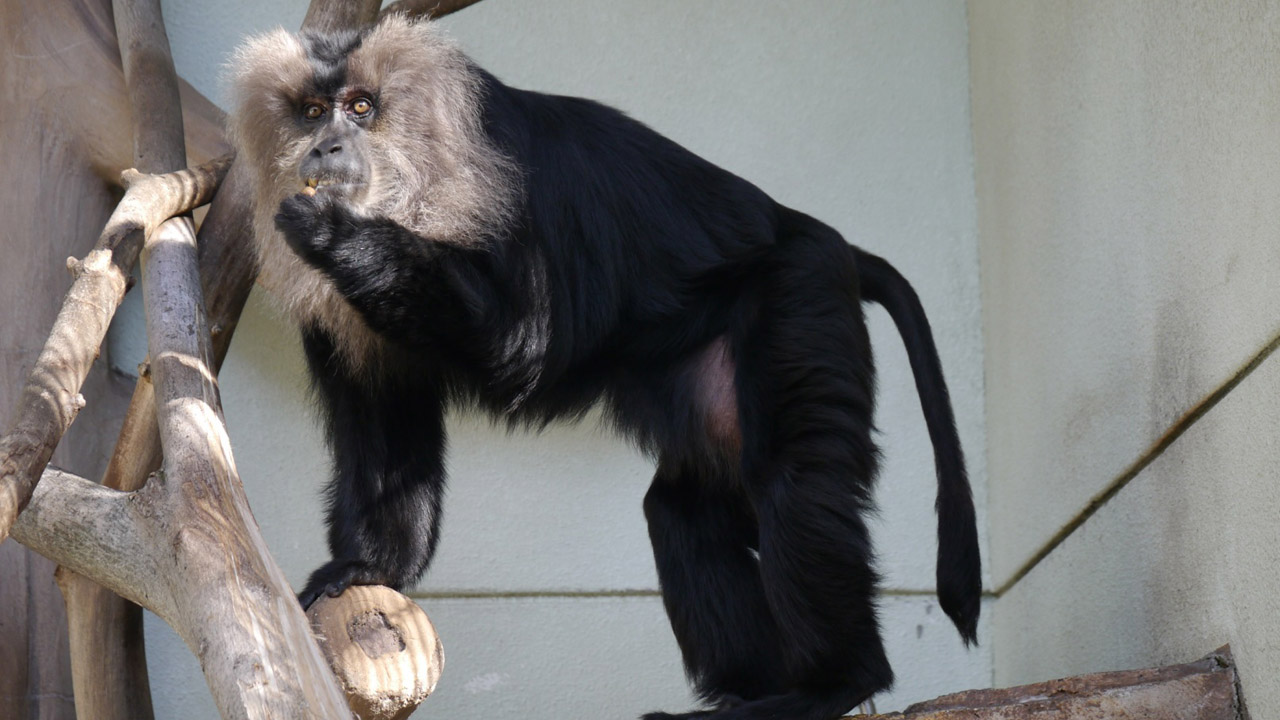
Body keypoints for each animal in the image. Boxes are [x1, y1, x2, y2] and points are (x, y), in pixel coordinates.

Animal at [227, 14, 977, 712]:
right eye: (313, 112)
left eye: (360, 108)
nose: (327, 146)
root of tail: (817, 233)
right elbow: (383, 420)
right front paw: (365, 567)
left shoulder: (508, 208)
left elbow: (521, 342)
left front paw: (336, 234)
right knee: (684, 505)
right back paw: (745, 696)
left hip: (799, 291)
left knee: (792, 480)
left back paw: (832, 686)